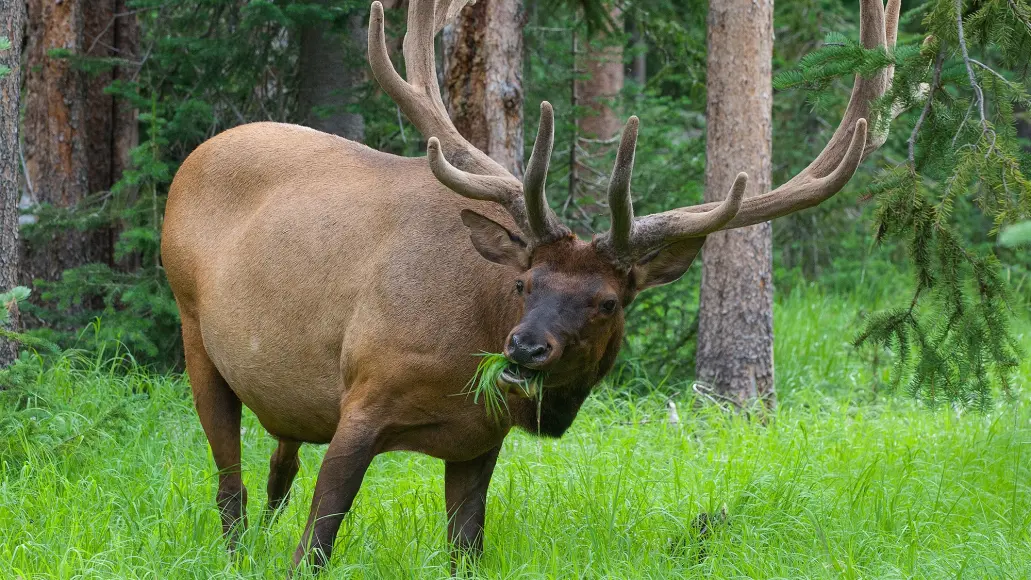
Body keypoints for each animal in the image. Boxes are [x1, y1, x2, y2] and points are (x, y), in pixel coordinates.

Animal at [158, 0, 903, 572]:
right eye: (524, 283)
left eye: (607, 301)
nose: (523, 349)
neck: (464, 352)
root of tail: (196, 155)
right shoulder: (363, 396)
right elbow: (316, 543)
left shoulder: (477, 442)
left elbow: (466, 550)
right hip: (195, 334)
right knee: (230, 486)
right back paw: (234, 551)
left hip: (288, 400)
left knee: (277, 468)